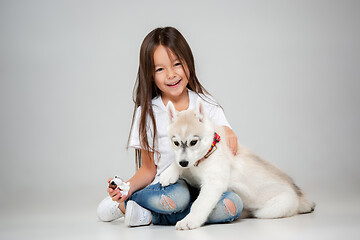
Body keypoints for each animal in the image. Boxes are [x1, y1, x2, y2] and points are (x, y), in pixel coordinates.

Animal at [160, 98, 316, 231]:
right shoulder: (193, 169)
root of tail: (299, 195)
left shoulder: (213, 183)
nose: (184, 162)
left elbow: (199, 204)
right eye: (176, 143)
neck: (208, 153)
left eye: (193, 142)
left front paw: (189, 220)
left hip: (273, 208)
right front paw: (169, 173)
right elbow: (179, 164)